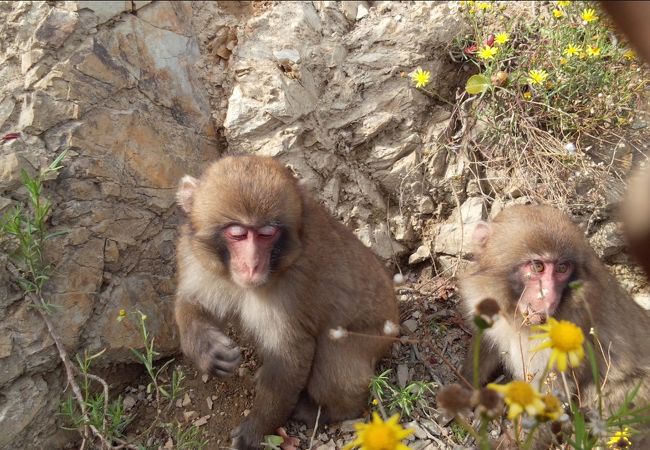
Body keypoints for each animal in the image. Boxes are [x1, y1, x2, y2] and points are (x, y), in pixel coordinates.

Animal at [172, 156, 398, 450]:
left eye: (267, 234)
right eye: (237, 234)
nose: (253, 265)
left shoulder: (293, 286)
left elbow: (291, 353)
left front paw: (256, 429)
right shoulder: (193, 255)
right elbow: (193, 302)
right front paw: (207, 351)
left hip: (374, 339)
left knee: (334, 358)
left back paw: (328, 411)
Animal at [458, 205, 648, 428]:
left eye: (562, 268)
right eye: (537, 266)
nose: (548, 298)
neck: (514, 314)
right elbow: (486, 344)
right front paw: (464, 392)